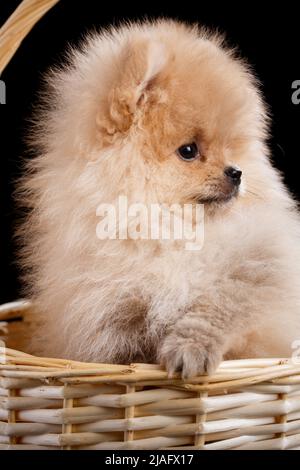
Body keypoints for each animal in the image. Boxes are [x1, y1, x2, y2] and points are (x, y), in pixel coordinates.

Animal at [18, 19, 300, 378]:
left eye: (231, 148)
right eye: (189, 151)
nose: (236, 173)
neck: (168, 230)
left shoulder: (262, 268)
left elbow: (222, 303)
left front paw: (189, 350)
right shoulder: (108, 311)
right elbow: (126, 343)